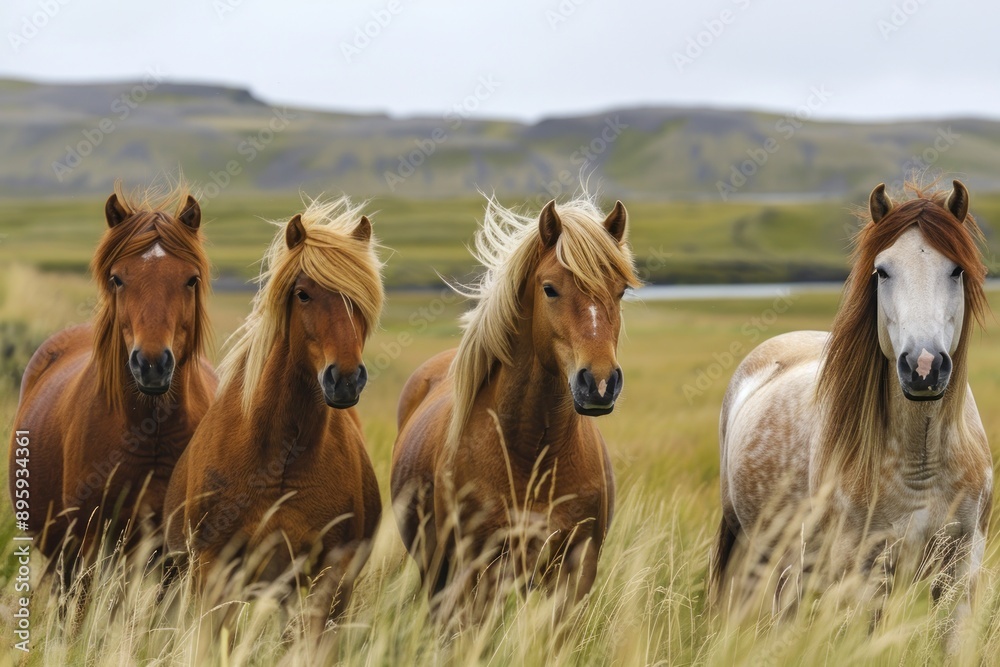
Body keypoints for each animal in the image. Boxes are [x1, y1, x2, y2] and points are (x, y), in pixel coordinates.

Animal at [7, 181, 215, 571]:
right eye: (117, 279)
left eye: (191, 280)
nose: (152, 364)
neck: (151, 433)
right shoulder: (88, 547)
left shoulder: (175, 558)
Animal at [163, 196, 384, 635]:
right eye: (303, 294)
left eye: (361, 297)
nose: (345, 379)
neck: (278, 456)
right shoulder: (213, 572)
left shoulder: (329, 577)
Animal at [390, 195, 640, 622]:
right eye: (550, 289)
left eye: (621, 290)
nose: (600, 383)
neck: (533, 453)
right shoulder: (478, 571)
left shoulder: (576, 572)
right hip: (436, 569)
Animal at [712, 180, 992, 650]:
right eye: (882, 271)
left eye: (956, 270)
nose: (923, 366)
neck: (921, 462)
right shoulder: (866, 577)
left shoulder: (959, 571)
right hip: (755, 551)